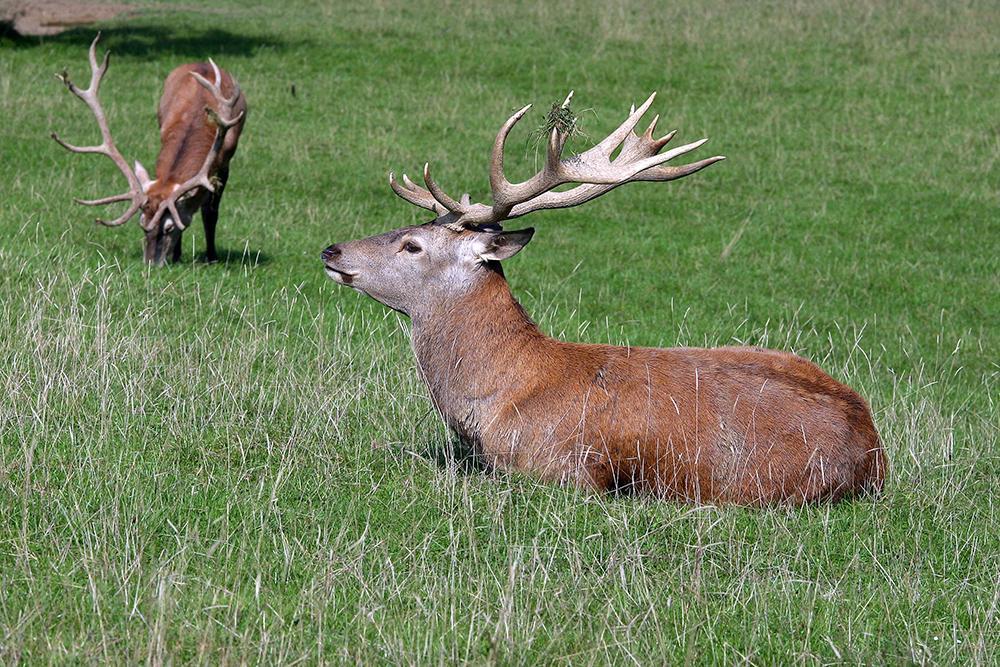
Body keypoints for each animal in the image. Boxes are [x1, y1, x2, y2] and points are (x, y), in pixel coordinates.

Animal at [52, 33, 246, 264]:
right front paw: (177, 256)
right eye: (142, 223)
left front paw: (212, 257)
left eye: (170, 228)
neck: (200, 118)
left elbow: (211, 211)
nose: (151, 263)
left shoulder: (225, 161)